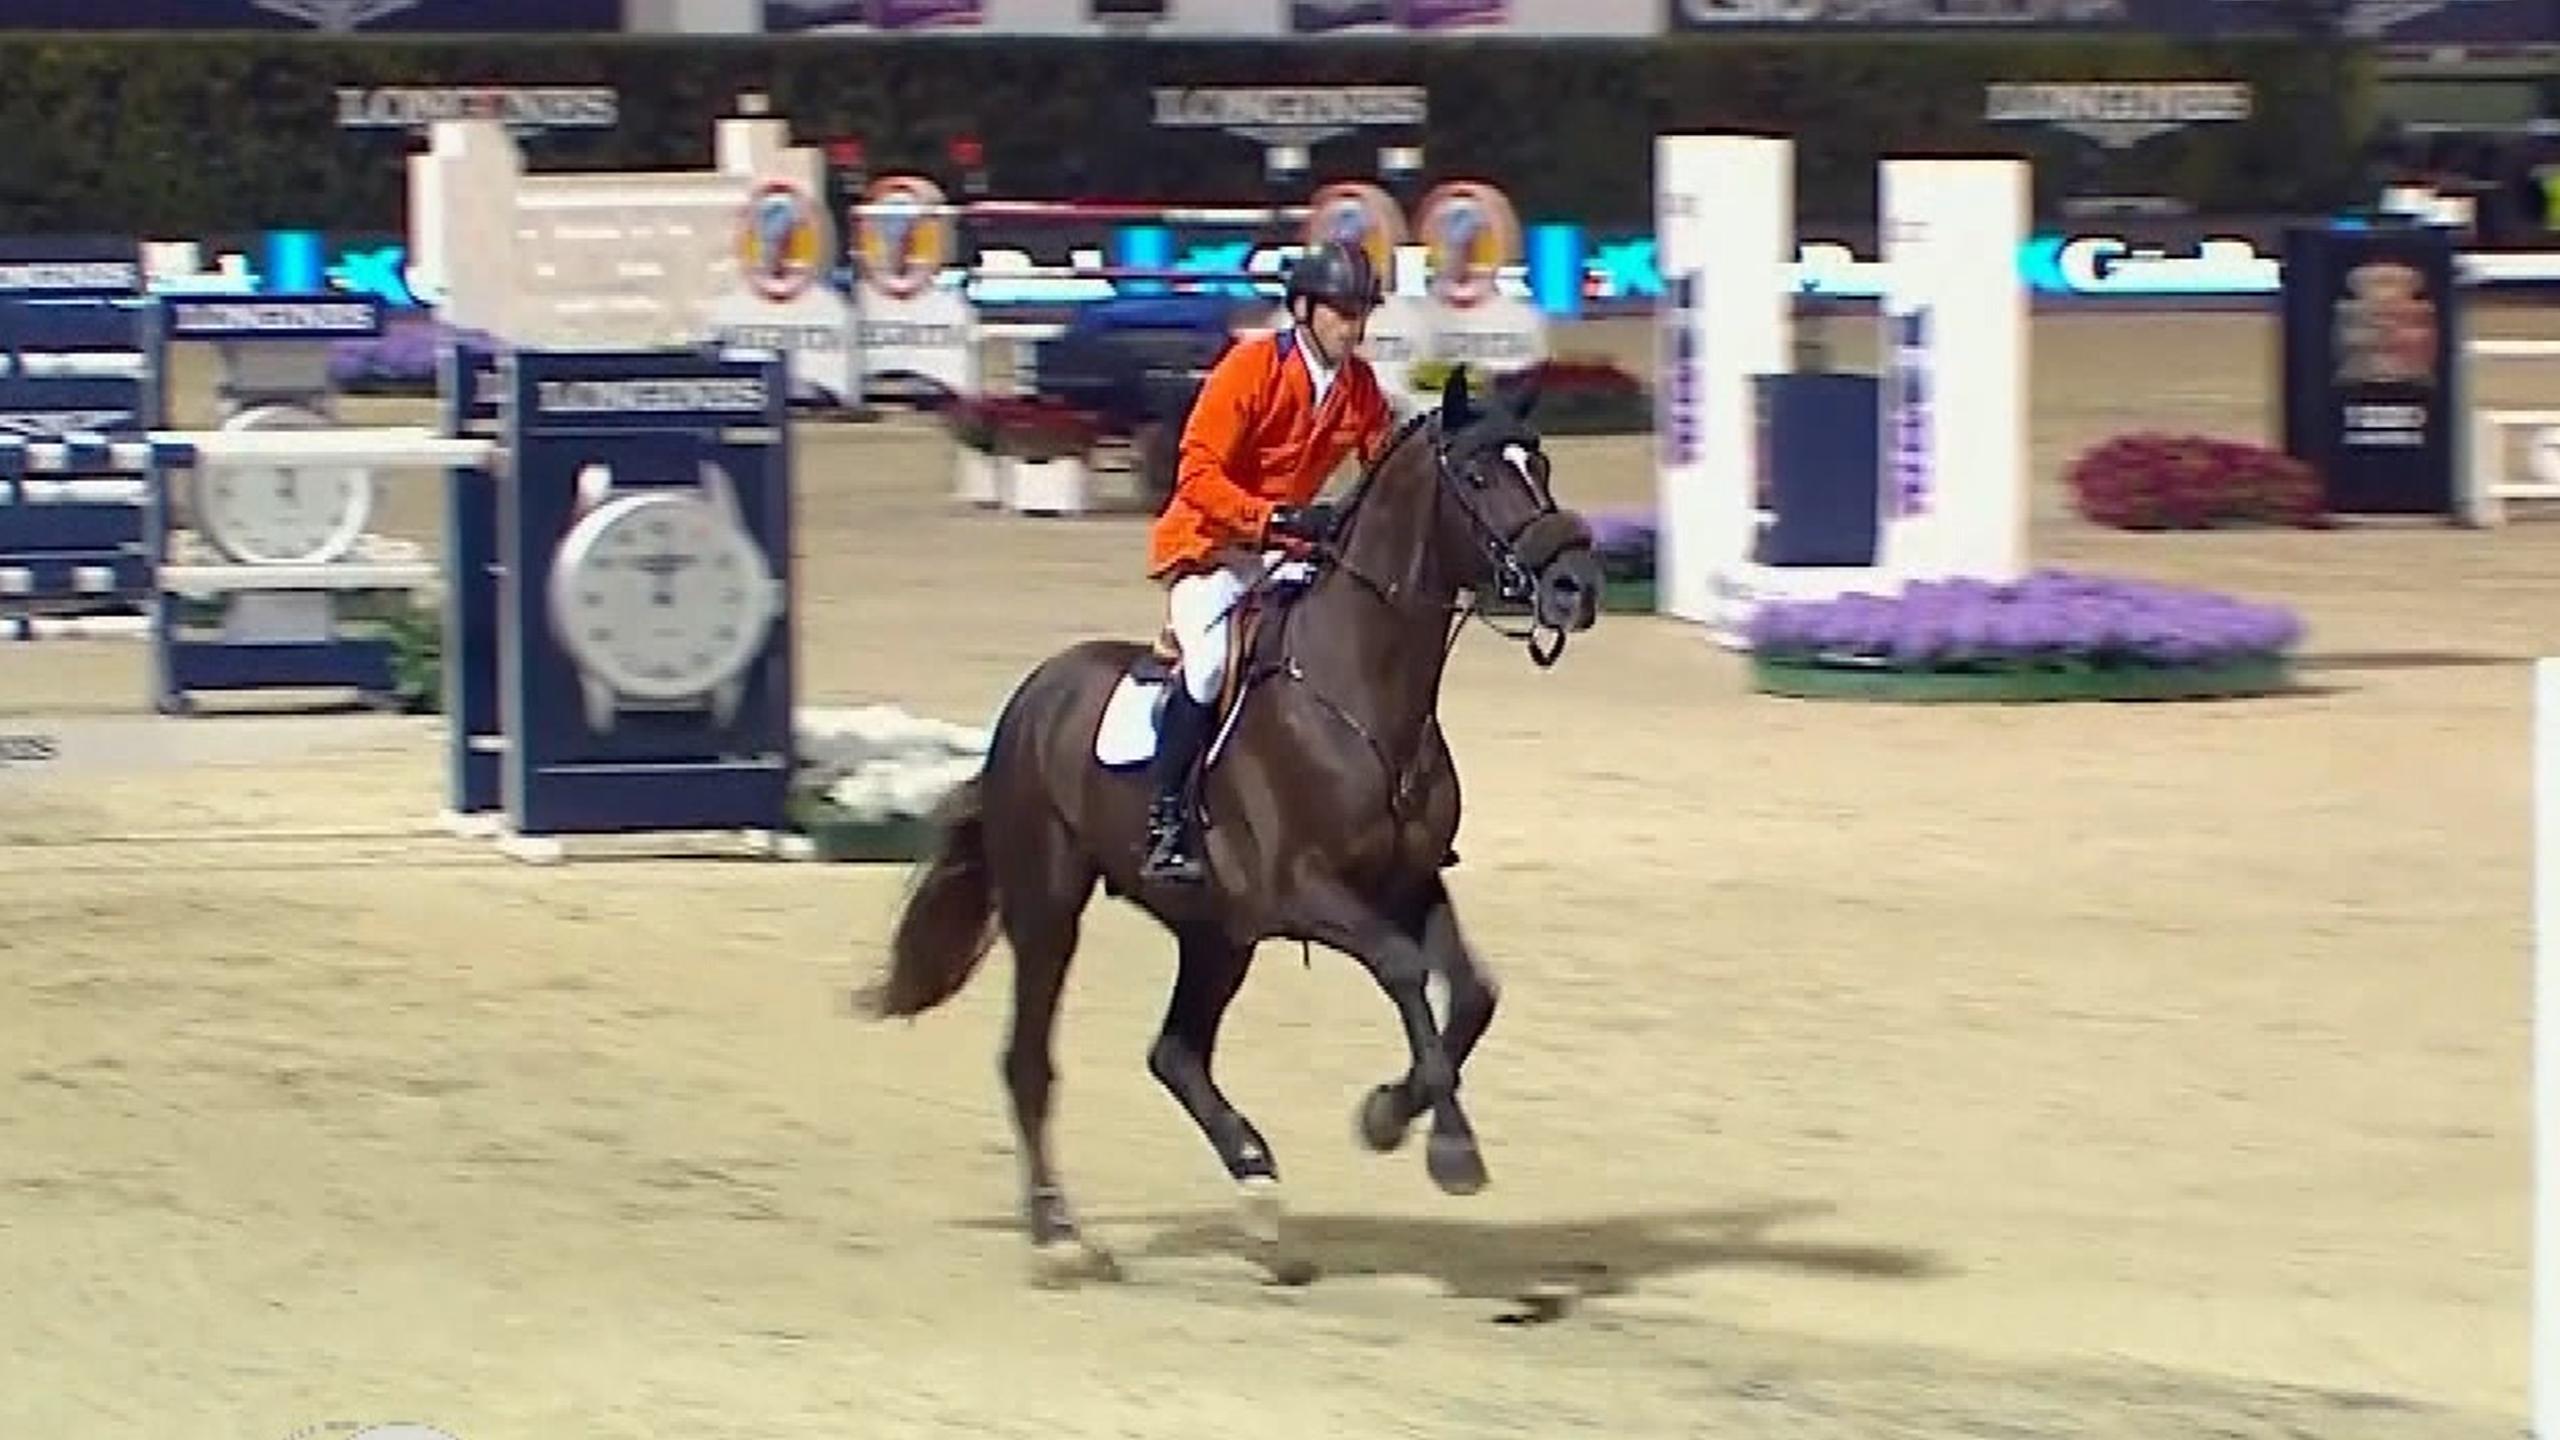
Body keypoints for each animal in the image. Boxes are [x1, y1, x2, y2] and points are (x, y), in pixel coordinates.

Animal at [854, 367, 1604, 1285]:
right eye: (1477, 476)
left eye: (1543, 464)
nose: (1575, 587)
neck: (1362, 693)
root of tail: (1029, 701)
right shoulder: (1304, 892)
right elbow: (1401, 968)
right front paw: (1448, 1150)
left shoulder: (1408, 880)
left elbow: (1471, 995)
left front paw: (1389, 1116)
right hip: (1051, 911)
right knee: (1029, 1061)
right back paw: (1059, 1235)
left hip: (1217, 934)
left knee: (1174, 1053)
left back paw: (1261, 1199)